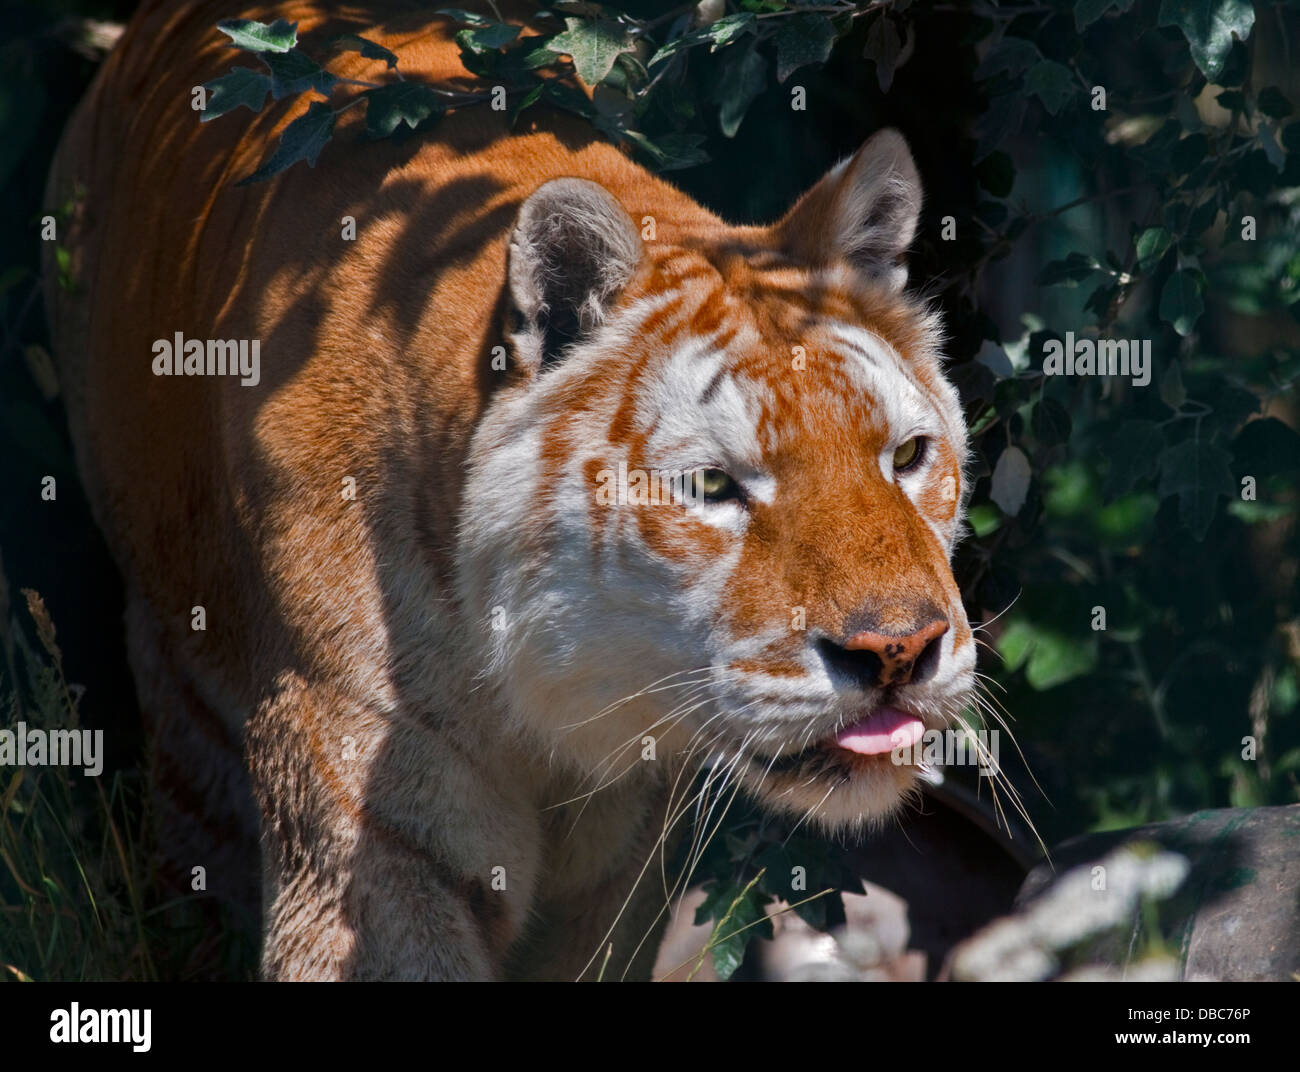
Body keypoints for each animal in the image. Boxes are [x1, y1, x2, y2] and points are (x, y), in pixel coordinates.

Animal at [40, 0, 977, 977]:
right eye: (713, 484)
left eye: (908, 456)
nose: (899, 652)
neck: (552, 717)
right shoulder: (378, 846)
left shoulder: (617, 875)